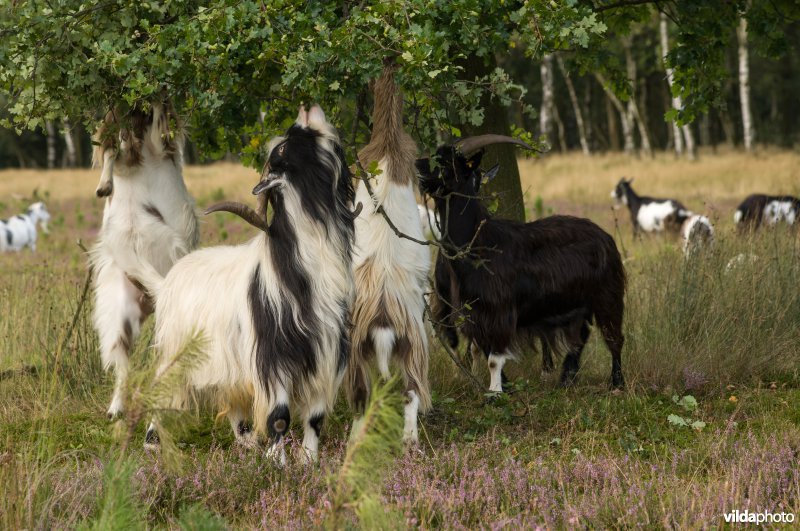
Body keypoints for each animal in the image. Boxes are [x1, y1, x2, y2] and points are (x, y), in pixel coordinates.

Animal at [88, 102, 198, 420]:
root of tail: (149, 300)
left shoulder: (160, 144)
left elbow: (157, 127)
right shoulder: (123, 145)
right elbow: (113, 149)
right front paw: (104, 187)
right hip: (120, 312)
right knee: (122, 358)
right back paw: (115, 409)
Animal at [418, 139, 624, 390]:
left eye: (447, 162)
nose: (417, 164)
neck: (479, 240)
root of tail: (605, 235)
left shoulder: (499, 310)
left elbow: (494, 357)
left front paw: (497, 391)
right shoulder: (475, 312)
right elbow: (483, 348)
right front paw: (504, 385)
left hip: (607, 294)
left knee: (614, 337)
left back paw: (617, 383)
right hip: (577, 303)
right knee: (582, 333)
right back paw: (567, 377)